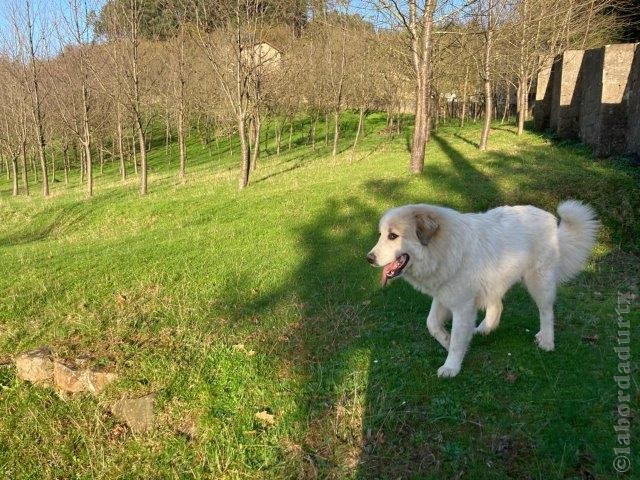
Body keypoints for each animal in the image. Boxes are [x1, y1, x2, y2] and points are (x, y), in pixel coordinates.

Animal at [368, 201, 596, 376]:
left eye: (393, 236)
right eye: (381, 235)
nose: (369, 258)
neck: (443, 248)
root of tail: (548, 218)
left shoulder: (462, 306)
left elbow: (457, 338)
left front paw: (451, 366)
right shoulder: (444, 296)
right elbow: (431, 324)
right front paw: (446, 341)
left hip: (539, 282)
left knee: (546, 311)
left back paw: (547, 341)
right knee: (498, 306)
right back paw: (485, 329)